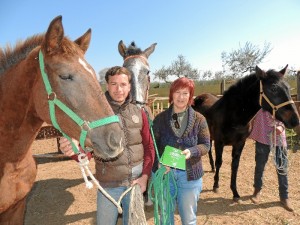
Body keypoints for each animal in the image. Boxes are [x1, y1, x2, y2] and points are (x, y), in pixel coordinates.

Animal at [193, 65, 298, 202]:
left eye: (288, 88)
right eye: (273, 88)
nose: (295, 120)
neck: (233, 115)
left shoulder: (239, 143)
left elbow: (235, 166)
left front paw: (235, 193)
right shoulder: (219, 142)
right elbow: (219, 162)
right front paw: (216, 185)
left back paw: (211, 167)